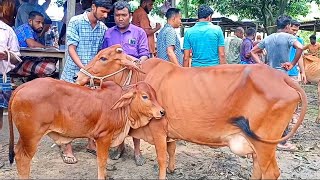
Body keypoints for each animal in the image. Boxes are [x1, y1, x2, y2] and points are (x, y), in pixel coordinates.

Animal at [7, 78, 165, 179]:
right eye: (145, 96)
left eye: (155, 95)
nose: (162, 112)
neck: (123, 109)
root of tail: (22, 87)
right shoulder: (103, 137)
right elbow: (102, 162)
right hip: (31, 136)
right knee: (22, 158)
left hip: (25, 137)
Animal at [74, 44, 308, 179]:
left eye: (103, 58)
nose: (78, 76)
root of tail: (282, 77)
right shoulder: (170, 133)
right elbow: (172, 151)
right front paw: (172, 169)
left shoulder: (158, 128)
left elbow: (161, 158)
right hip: (258, 144)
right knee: (258, 167)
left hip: (265, 143)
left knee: (271, 172)